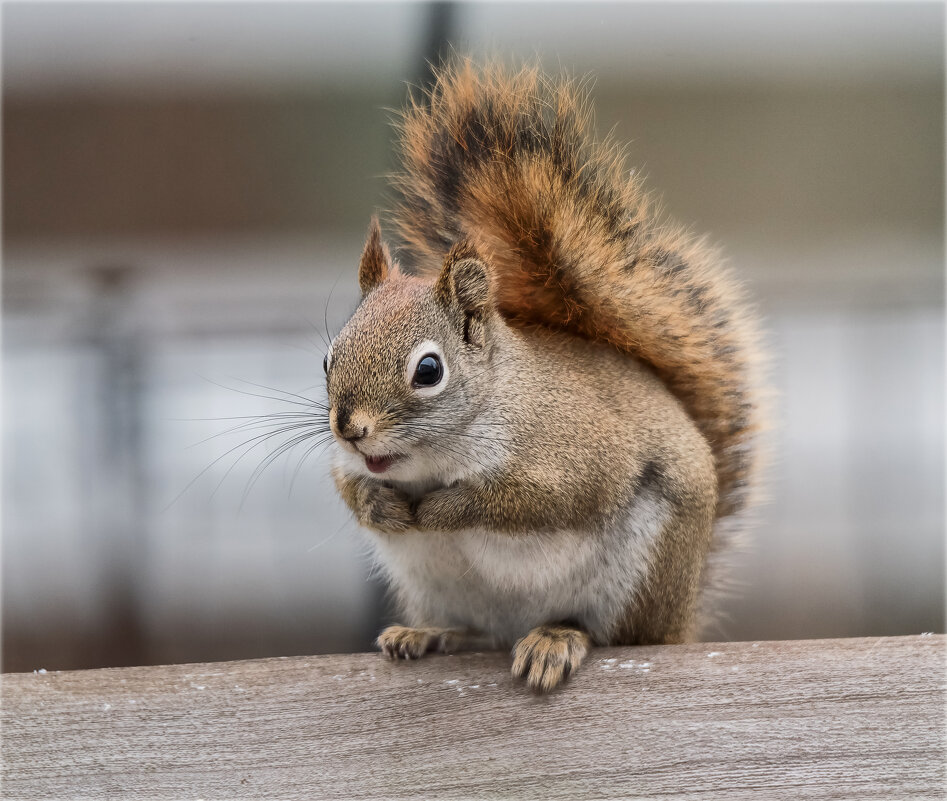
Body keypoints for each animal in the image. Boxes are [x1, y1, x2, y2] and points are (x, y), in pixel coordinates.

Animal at [322, 59, 768, 692]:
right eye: (329, 358)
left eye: (429, 370)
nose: (350, 429)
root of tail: (679, 619)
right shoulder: (349, 465)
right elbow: (349, 486)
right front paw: (380, 506)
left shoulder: (574, 452)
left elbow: (539, 498)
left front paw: (445, 510)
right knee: (473, 630)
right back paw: (426, 633)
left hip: (638, 576)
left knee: (608, 634)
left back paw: (557, 638)